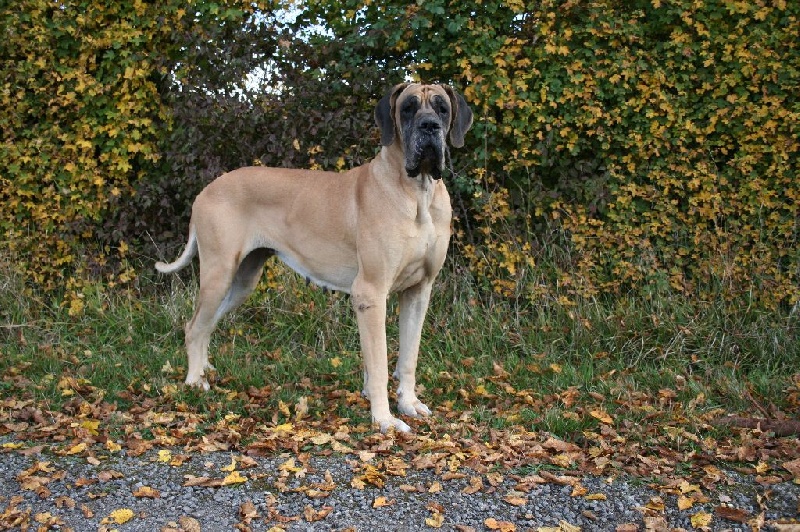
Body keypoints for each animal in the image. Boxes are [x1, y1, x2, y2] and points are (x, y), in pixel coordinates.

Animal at [156, 83, 473, 432]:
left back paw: (204, 370)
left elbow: (408, 357)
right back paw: (193, 381)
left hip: (243, 280)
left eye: (442, 108)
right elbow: (378, 364)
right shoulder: (370, 292)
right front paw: (384, 419)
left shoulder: (418, 291)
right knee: (193, 326)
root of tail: (206, 190)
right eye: (408, 108)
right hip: (218, 274)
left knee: (206, 324)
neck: (418, 193)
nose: (429, 126)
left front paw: (408, 403)